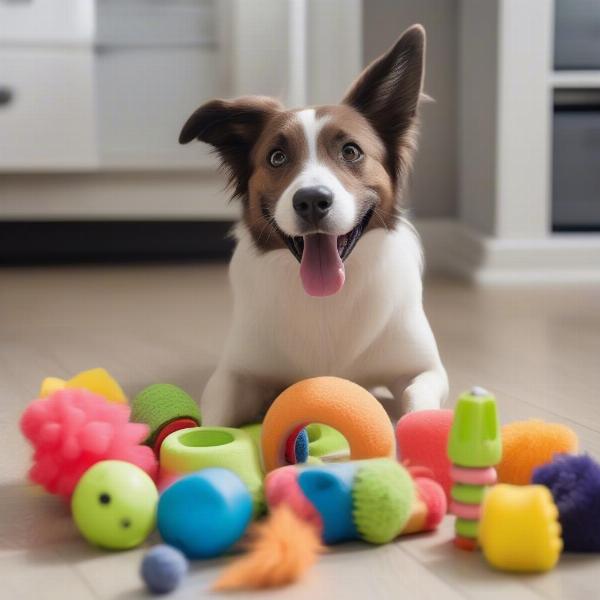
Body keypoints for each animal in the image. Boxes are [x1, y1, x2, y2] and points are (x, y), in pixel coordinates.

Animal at [180, 25, 448, 424]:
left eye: (350, 151)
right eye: (277, 157)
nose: (311, 201)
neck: (325, 303)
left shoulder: (425, 368)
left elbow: (419, 397)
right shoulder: (235, 373)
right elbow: (214, 412)